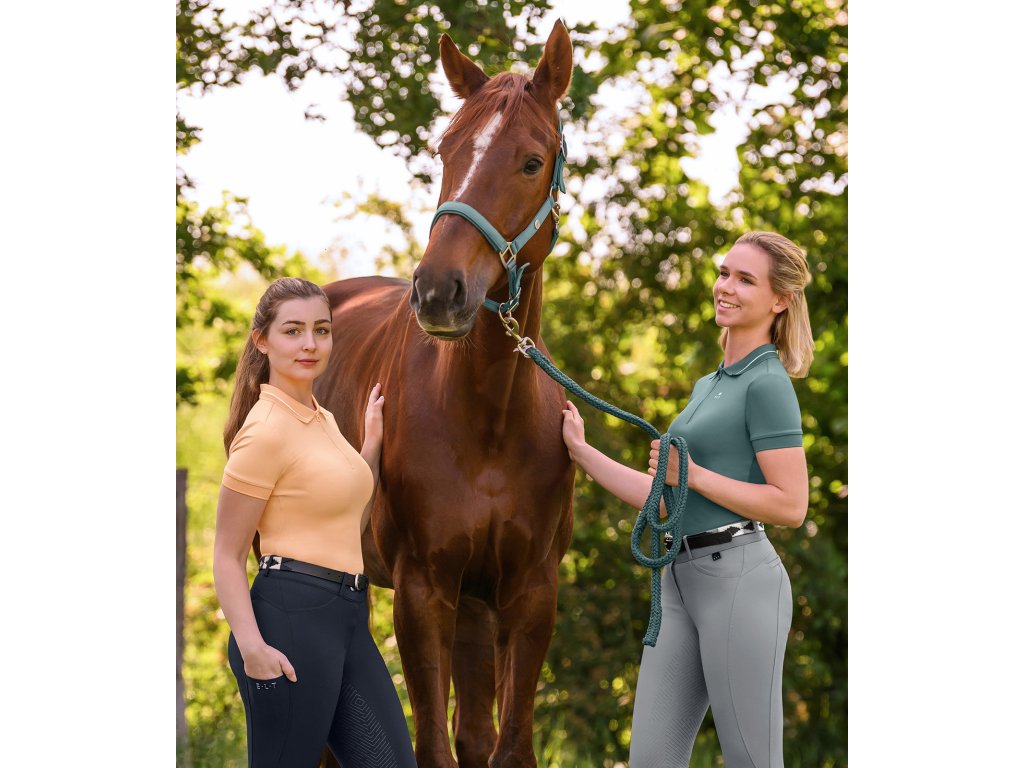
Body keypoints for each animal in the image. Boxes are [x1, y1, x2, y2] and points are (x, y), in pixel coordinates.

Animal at [313, 21, 576, 768]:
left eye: (531, 161)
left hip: (476, 607)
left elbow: (505, 746)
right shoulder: (422, 591)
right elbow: (431, 744)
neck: (490, 420)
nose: (437, 290)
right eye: (445, 151)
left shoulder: (527, 594)